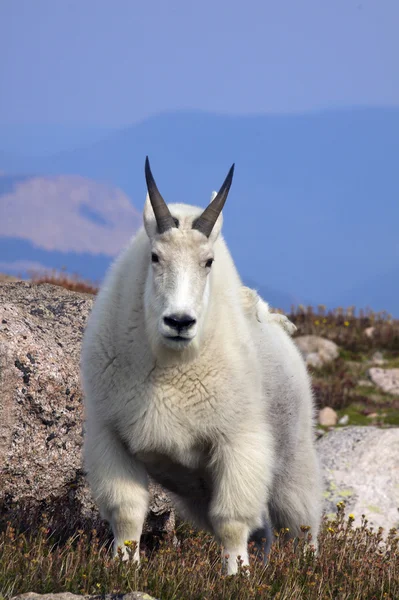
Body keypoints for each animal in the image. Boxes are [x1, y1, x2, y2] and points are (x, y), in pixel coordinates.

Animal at [80, 157, 322, 576]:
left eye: (208, 262)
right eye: (155, 257)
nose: (179, 322)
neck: (169, 366)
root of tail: (278, 327)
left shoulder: (237, 442)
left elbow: (232, 521)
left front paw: (236, 577)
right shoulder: (111, 437)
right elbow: (127, 513)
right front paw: (124, 568)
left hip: (291, 459)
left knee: (300, 524)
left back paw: (305, 572)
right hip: (196, 489)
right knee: (265, 532)